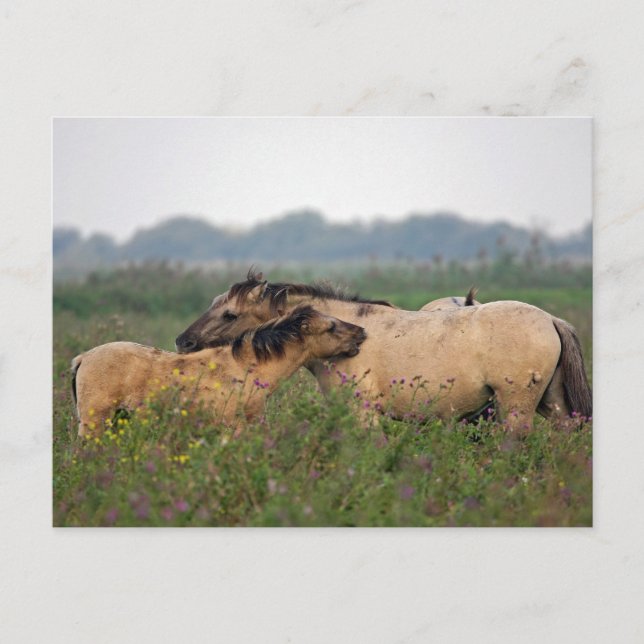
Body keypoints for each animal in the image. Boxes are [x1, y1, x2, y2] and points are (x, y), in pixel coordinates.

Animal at [175, 270, 591, 432]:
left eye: (230, 313)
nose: (183, 342)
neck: (349, 332)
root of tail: (551, 319)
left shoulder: (364, 414)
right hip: (553, 405)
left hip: (516, 408)